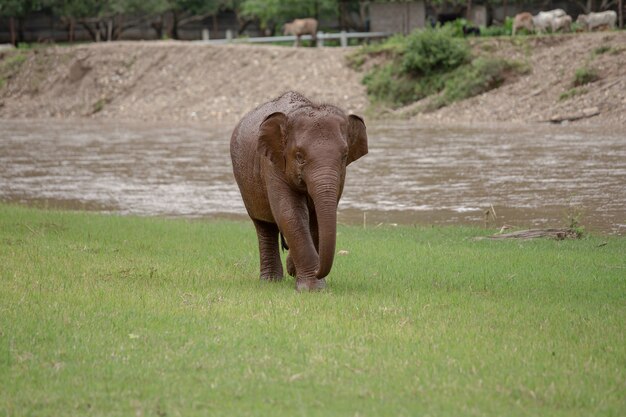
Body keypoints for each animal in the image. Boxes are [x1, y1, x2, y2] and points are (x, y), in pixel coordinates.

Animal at [229, 92, 366, 290]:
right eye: (299, 156)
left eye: (345, 156)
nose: (318, 271)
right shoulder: (272, 163)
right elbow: (290, 212)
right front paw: (312, 288)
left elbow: (316, 218)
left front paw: (299, 273)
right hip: (246, 184)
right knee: (263, 225)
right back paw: (270, 281)